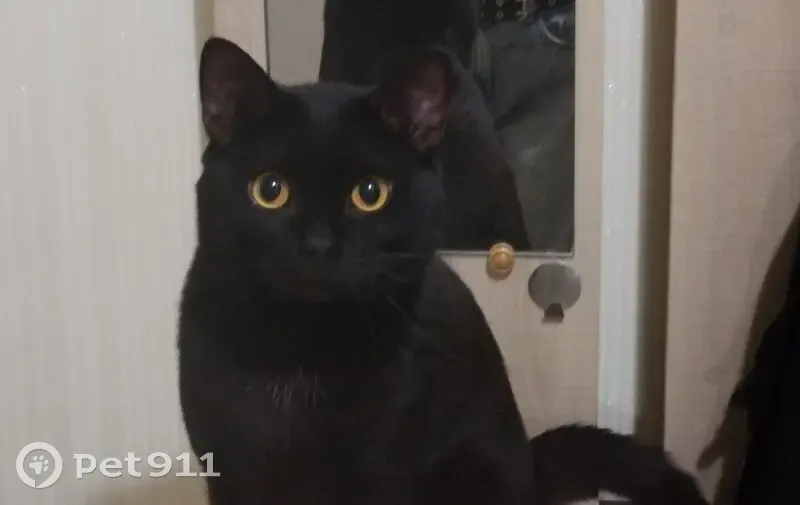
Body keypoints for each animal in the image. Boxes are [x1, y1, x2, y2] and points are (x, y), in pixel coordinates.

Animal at [178, 36, 708, 505]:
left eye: (370, 193)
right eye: (269, 190)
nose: (318, 246)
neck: (301, 353)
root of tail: (530, 473)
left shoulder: (386, 476)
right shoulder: (227, 471)